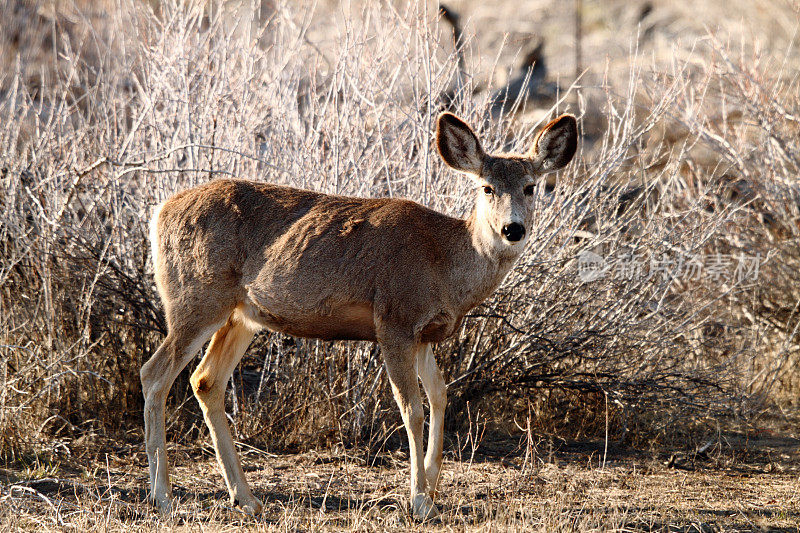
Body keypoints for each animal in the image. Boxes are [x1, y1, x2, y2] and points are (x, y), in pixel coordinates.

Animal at [141, 110, 580, 516]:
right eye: (487, 187)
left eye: (530, 187)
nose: (512, 229)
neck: (444, 263)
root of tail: (158, 211)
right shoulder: (395, 319)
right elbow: (411, 408)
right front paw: (420, 501)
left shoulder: (424, 332)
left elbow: (439, 394)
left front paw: (433, 484)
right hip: (196, 298)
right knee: (154, 373)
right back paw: (163, 496)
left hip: (241, 315)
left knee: (205, 380)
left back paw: (246, 499)